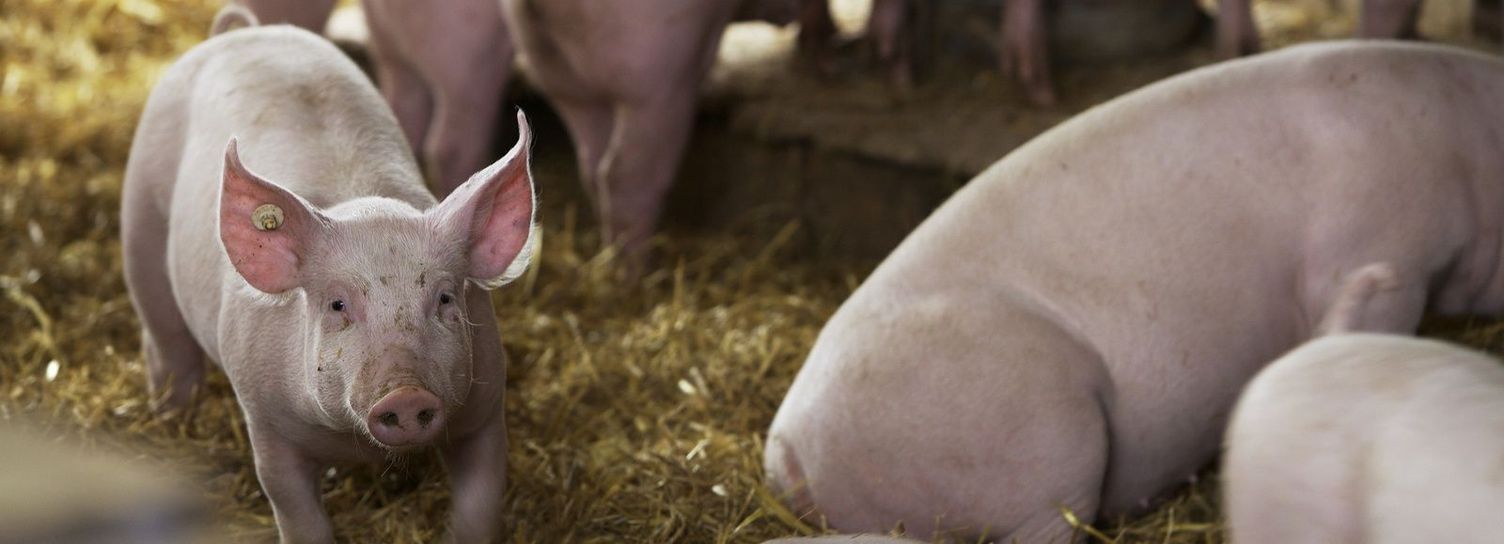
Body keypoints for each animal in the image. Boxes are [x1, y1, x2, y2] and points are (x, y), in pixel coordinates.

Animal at [120, 12, 535, 543]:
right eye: (338, 305)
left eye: (445, 299)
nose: (405, 393)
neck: (355, 445)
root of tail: (242, 31)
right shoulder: (267, 423)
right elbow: (297, 512)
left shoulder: (485, 408)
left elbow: (479, 508)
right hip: (140, 222)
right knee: (166, 342)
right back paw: (170, 415)